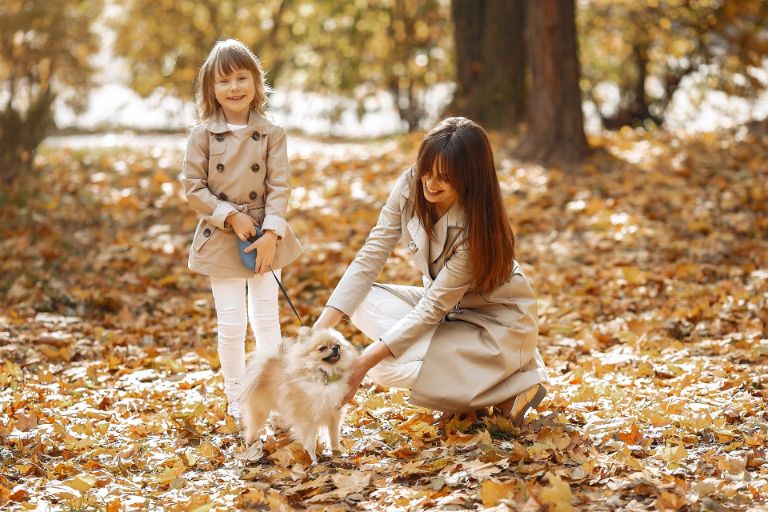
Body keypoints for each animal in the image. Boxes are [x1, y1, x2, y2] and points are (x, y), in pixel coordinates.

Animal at [238, 328, 356, 464]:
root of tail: (264, 365)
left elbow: (334, 437)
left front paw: (337, 453)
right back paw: (249, 446)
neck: (325, 377)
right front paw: (313, 459)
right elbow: (310, 442)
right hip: (260, 411)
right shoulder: (307, 418)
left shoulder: (334, 415)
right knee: (251, 430)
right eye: (322, 348)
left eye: (338, 345)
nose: (335, 349)